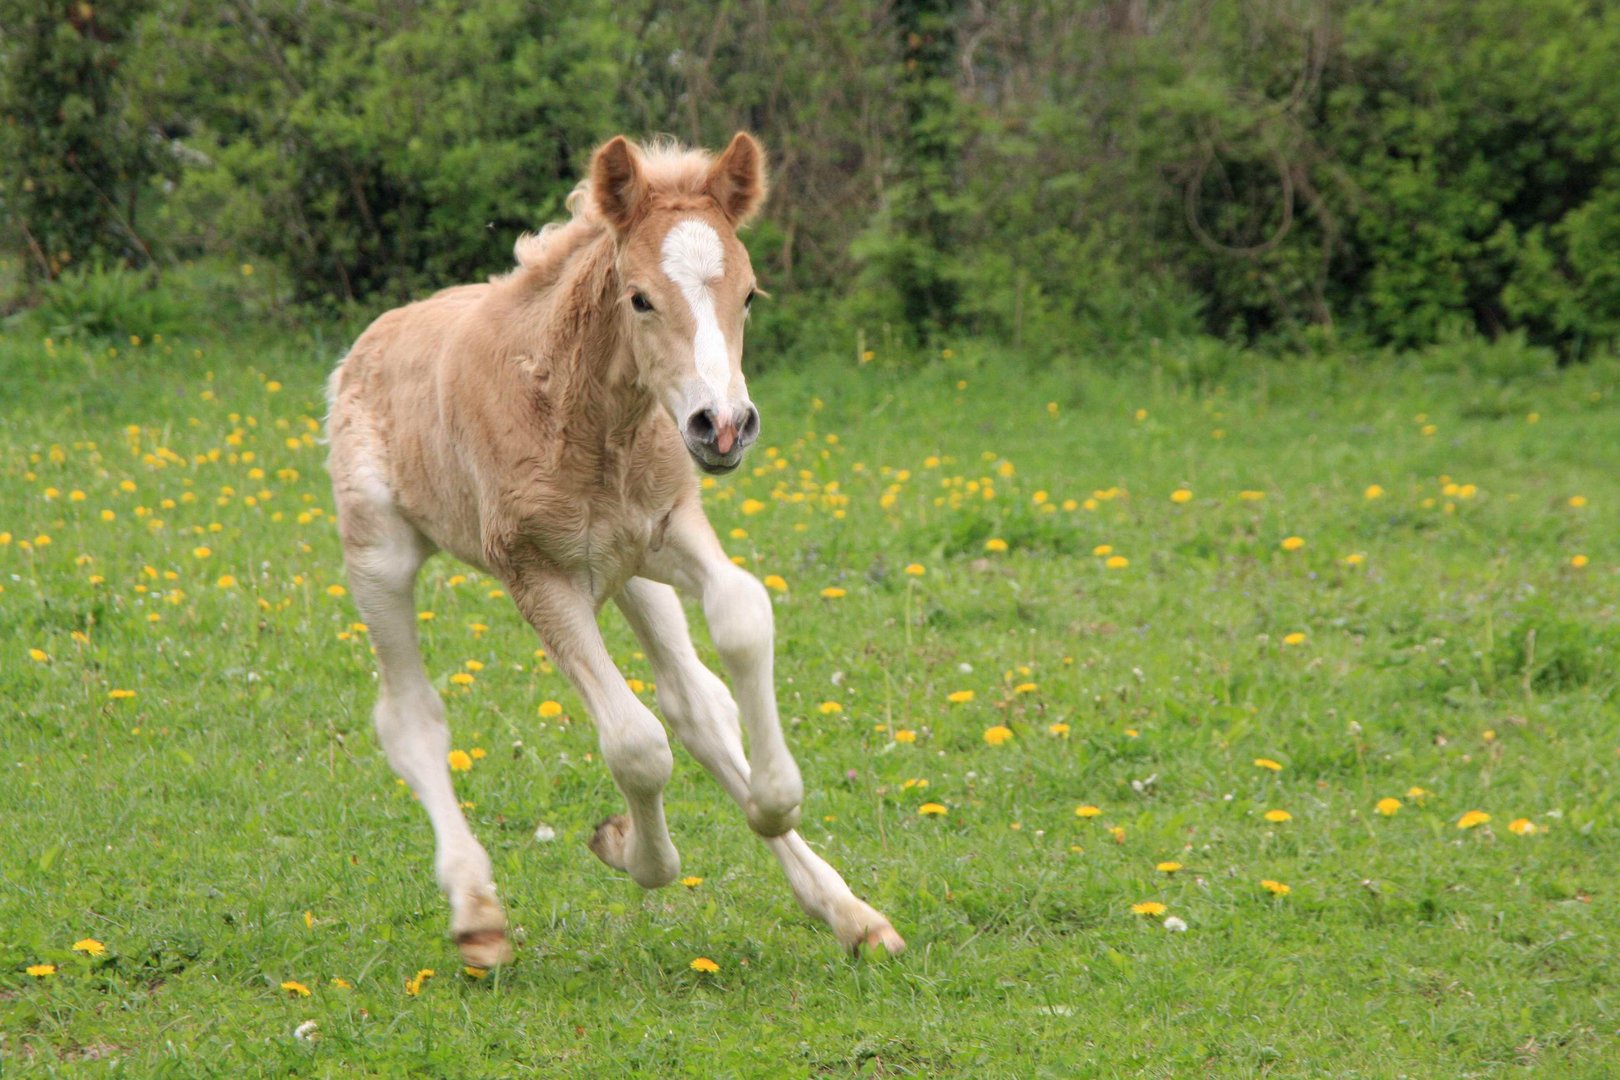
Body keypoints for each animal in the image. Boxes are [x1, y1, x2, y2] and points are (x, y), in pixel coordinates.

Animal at [325, 131, 913, 965]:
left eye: (749, 295)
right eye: (639, 297)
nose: (722, 427)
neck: (594, 424)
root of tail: (370, 340)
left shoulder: (668, 530)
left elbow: (742, 617)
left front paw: (774, 804)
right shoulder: (534, 573)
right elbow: (636, 744)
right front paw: (628, 849)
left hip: (629, 575)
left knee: (696, 703)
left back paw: (849, 913)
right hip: (380, 556)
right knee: (411, 719)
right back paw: (478, 916)